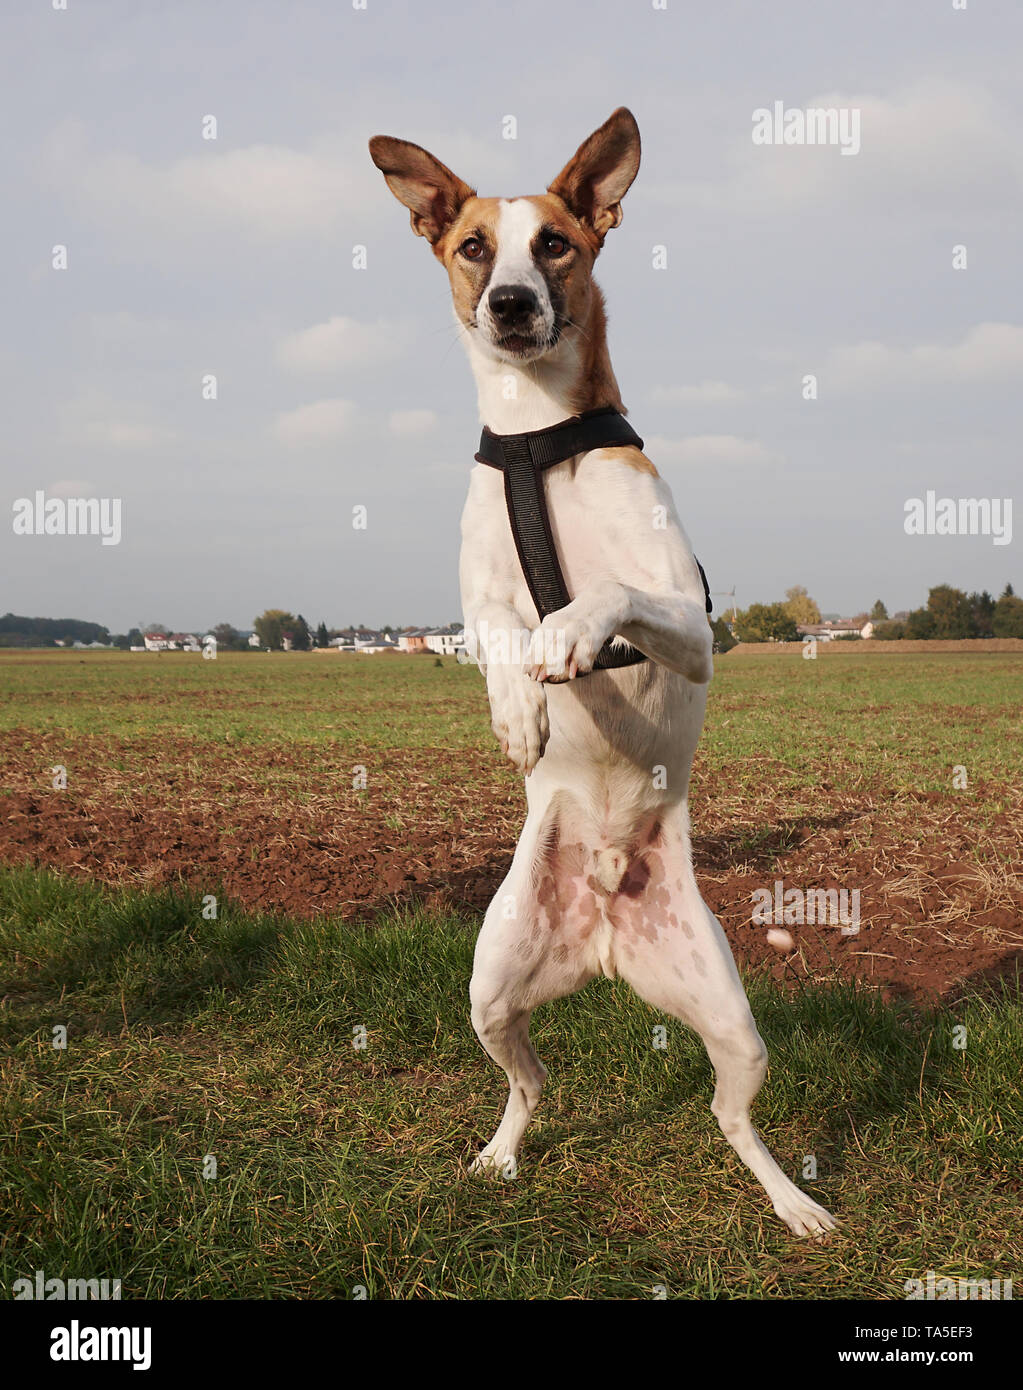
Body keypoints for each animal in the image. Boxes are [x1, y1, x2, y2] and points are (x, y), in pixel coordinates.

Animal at [372, 111, 833, 1239]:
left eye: (556, 244)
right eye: (473, 248)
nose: (510, 304)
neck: (541, 437)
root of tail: (610, 927)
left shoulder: (691, 620)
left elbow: (608, 598)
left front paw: (571, 639)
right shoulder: (478, 596)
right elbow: (499, 631)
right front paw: (518, 714)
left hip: (734, 1024)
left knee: (731, 1120)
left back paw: (793, 1202)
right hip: (491, 989)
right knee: (530, 1083)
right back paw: (498, 1154)